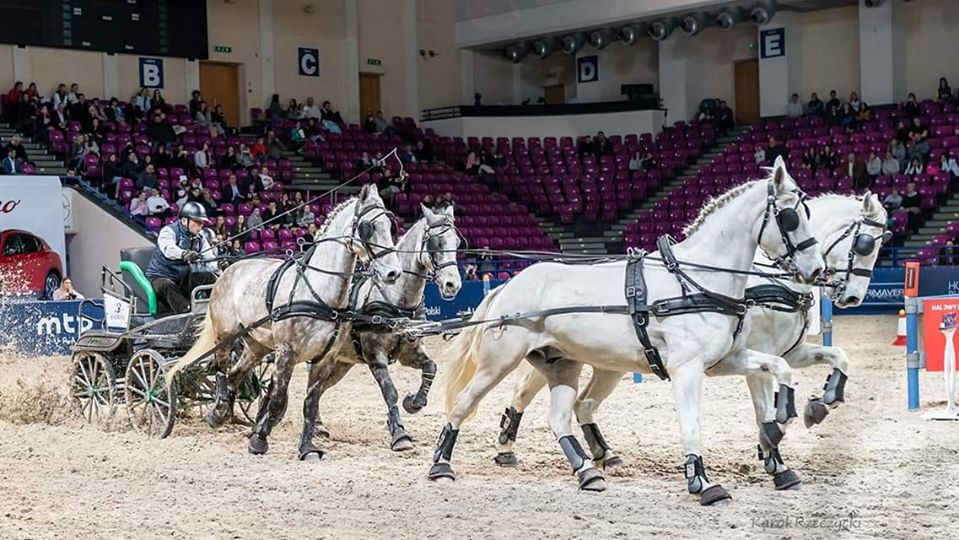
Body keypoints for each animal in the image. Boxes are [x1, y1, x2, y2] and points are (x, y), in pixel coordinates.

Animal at [169, 186, 402, 456]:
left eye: (390, 225)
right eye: (368, 227)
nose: (393, 273)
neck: (319, 293)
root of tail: (229, 269)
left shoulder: (325, 358)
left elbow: (310, 402)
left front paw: (307, 447)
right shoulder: (287, 352)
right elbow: (278, 399)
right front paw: (259, 440)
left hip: (256, 345)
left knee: (236, 374)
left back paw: (227, 412)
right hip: (225, 335)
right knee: (220, 368)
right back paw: (218, 412)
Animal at [432, 158, 820, 504]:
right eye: (791, 217)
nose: (816, 270)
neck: (695, 280)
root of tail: (507, 285)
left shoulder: (725, 360)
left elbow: (781, 366)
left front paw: (781, 423)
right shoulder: (687, 368)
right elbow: (691, 425)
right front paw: (703, 484)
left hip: (562, 365)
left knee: (561, 417)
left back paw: (587, 471)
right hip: (498, 362)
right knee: (463, 404)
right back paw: (441, 465)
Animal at [496, 192, 892, 492]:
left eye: (879, 246)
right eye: (864, 244)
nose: (852, 297)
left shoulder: (789, 353)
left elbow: (838, 356)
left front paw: (820, 403)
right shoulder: (757, 361)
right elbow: (765, 410)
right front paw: (775, 459)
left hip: (609, 364)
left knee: (584, 404)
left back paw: (603, 455)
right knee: (524, 391)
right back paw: (506, 445)